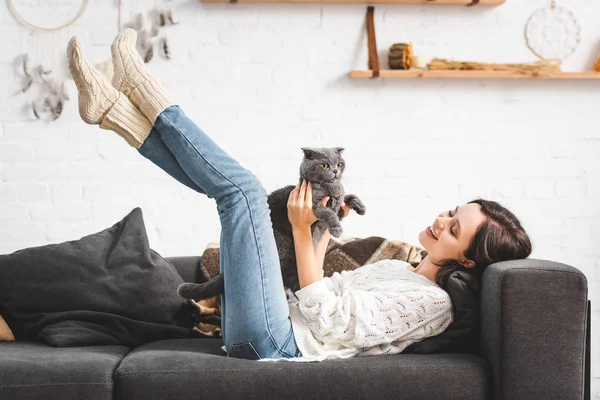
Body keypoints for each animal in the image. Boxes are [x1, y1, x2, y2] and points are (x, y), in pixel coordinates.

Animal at [176, 148, 368, 300]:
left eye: (340, 164)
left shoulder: (335, 207)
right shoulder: (314, 207)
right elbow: (329, 213)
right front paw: (336, 228)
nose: (336, 171)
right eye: (325, 165)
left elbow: (346, 198)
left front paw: (359, 206)